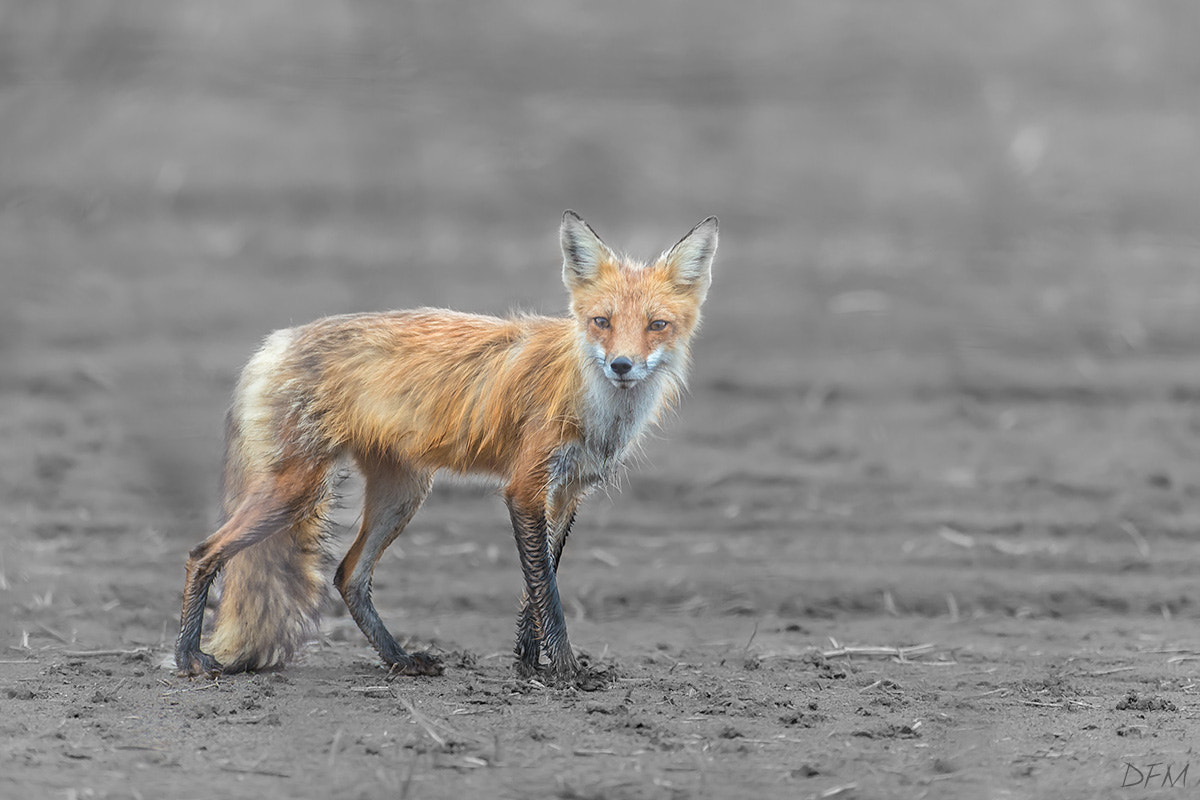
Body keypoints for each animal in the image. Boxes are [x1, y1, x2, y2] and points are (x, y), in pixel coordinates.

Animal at [174, 211, 718, 683]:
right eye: (602, 321)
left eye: (657, 325)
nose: (622, 365)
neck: (594, 403)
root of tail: (275, 342)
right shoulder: (525, 487)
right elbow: (548, 591)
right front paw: (566, 671)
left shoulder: (566, 492)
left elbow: (537, 585)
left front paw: (528, 665)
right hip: (297, 492)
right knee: (203, 553)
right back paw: (189, 659)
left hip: (402, 495)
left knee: (349, 577)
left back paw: (400, 660)